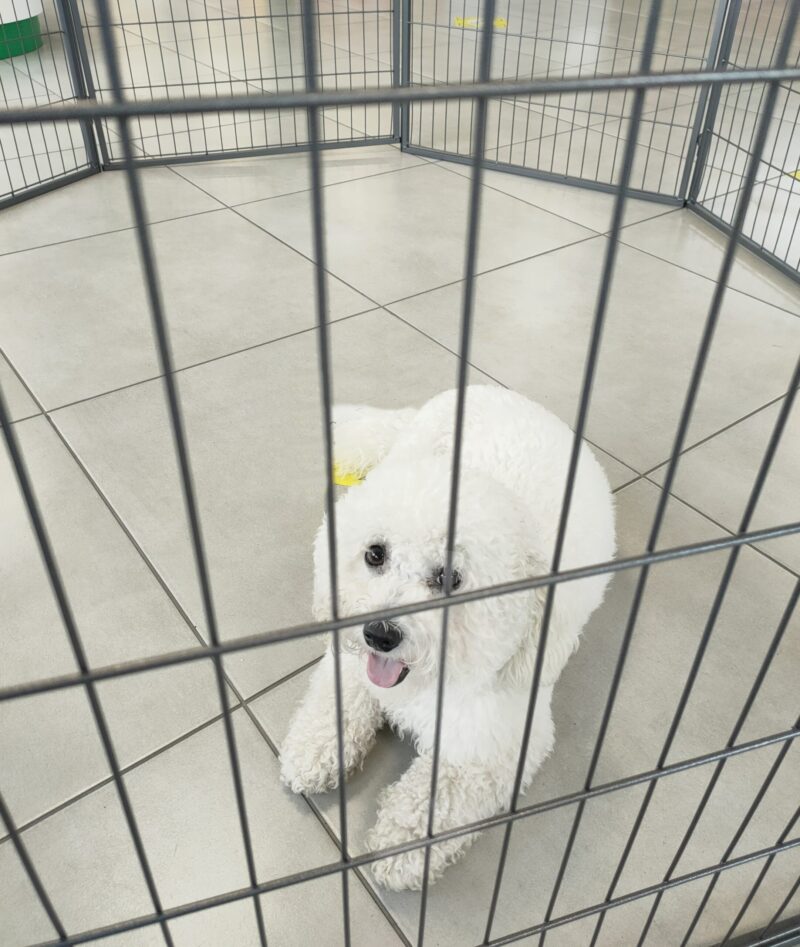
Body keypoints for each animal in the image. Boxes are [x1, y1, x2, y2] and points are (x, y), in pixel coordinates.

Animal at [278, 384, 616, 888]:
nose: (379, 634)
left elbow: (440, 794)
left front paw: (401, 846)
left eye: (450, 578)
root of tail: (493, 390)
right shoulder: (354, 667)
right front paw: (315, 749)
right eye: (375, 554)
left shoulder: (496, 741)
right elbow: (337, 701)